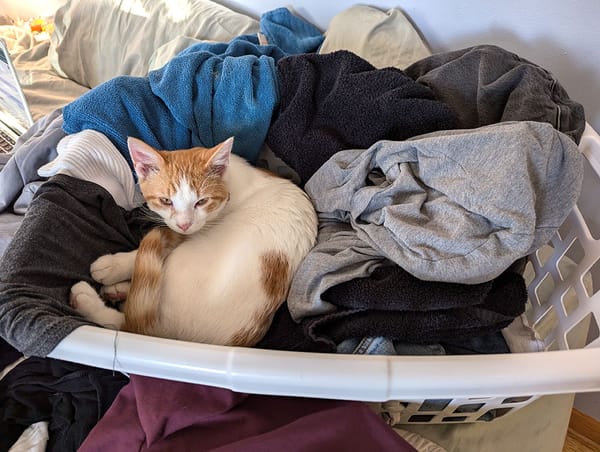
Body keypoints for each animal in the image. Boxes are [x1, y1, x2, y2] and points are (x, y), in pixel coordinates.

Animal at [70, 137, 318, 346]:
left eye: (201, 202)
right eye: (166, 201)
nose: (184, 224)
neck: (231, 182)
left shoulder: (193, 230)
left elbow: (141, 253)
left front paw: (113, 265)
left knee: (126, 323)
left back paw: (90, 298)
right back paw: (118, 291)